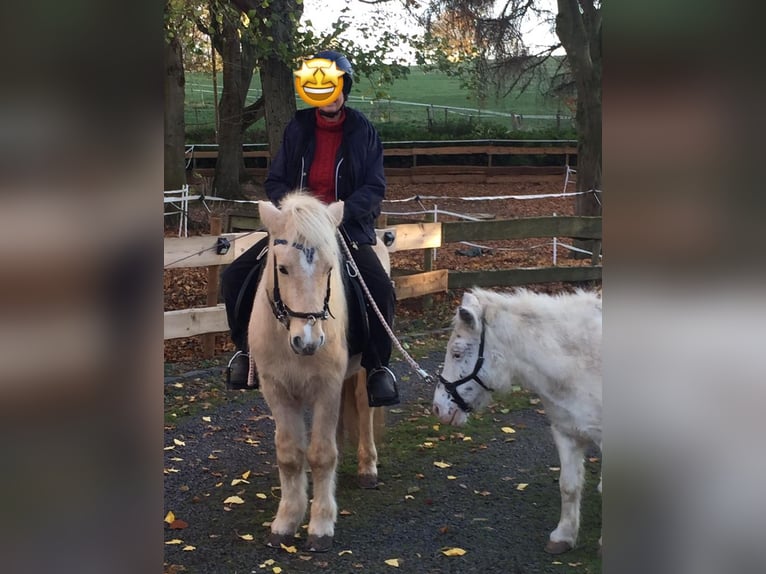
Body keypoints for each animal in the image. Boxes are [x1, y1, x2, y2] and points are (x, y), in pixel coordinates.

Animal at [248, 192, 388, 553]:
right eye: (282, 268)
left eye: (330, 268)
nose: (308, 341)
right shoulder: (277, 390)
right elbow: (290, 455)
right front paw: (286, 521)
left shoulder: (327, 387)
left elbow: (322, 455)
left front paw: (321, 525)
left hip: (362, 373)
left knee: (364, 409)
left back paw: (368, 467)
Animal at [432, 288, 602, 554]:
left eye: (457, 353)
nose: (438, 408)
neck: (581, 365)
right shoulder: (566, 432)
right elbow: (568, 486)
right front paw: (563, 537)